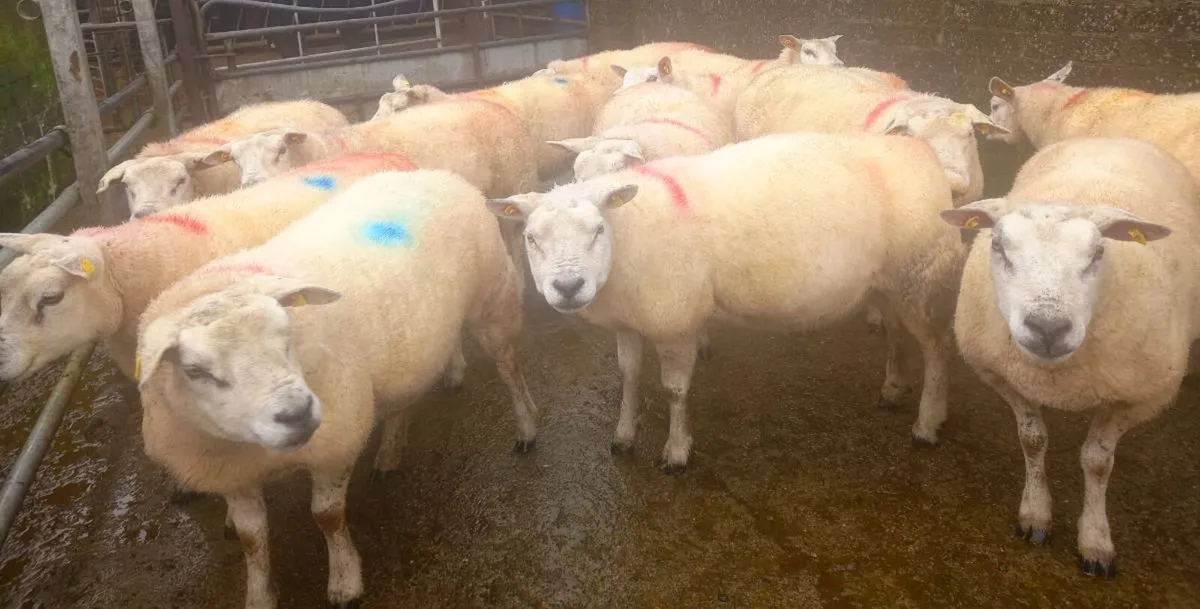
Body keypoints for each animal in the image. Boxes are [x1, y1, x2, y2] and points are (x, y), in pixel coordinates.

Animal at [135, 169, 538, 609]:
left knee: (511, 370)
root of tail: (434, 173)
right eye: (194, 370)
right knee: (404, 401)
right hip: (406, 351)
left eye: (286, 334)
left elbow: (327, 516)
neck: (255, 451)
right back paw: (391, 452)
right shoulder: (233, 474)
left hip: (491, 300)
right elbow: (251, 539)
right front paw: (259, 594)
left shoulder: (336, 440)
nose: (297, 413)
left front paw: (345, 582)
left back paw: (526, 429)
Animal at [488, 131, 966, 473]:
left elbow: (675, 391)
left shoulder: (676, 318)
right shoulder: (631, 318)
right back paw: (894, 387)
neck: (628, 234)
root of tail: (920, 151)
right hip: (887, 280)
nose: (568, 286)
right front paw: (623, 436)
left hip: (919, 273)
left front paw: (676, 451)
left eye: (597, 230)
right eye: (531, 238)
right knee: (898, 332)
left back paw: (928, 422)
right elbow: (628, 376)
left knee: (938, 348)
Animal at [939, 137, 1200, 579]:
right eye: (998, 246)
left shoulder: (1136, 398)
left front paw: (1095, 540)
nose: (1048, 327)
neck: (1057, 377)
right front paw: (1035, 514)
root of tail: (1113, 139)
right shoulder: (1004, 377)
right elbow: (1032, 441)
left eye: (1098, 252)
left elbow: (1097, 462)